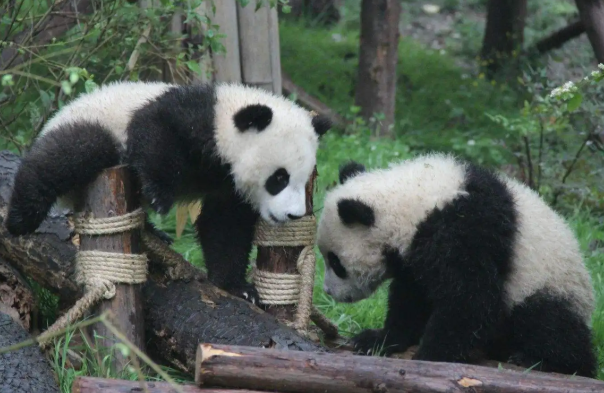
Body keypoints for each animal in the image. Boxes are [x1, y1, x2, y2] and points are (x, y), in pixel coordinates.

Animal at [4, 79, 332, 304]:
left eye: (303, 180)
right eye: (279, 178)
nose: (293, 215)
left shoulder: (228, 185)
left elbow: (225, 227)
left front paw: (237, 287)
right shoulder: (192, 117)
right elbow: (154, 133)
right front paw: (159, 196)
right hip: (95, 123)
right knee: (68, 154)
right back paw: (21, 217)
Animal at [316, 152, 600, 376]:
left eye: (336, 262)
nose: (329, 292)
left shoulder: (466, 231)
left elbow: (470, 300)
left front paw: (430, 356)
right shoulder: (418, 255)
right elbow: (411, 298)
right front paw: (378, 339)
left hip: (550, 284)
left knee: (548, 322)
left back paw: (541, 359)